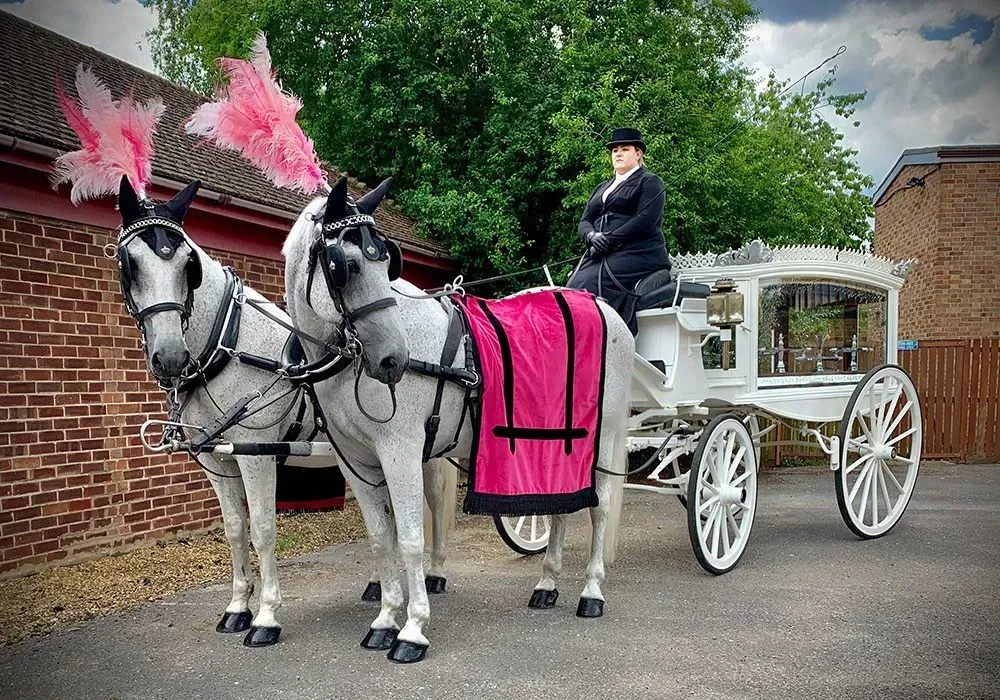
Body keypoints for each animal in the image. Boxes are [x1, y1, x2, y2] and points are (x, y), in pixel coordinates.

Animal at [111, 178, 452, 648]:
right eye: (129, 263)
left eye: (187, 265)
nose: (170, 357)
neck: (227, 343)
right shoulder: (217, 463)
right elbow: (235, 531)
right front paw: (237, 608)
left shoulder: (255, 454)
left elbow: (263, 530)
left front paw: (266, 617)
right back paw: (377, 587)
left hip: (422, 447)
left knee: (431, 501)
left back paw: (434, 574)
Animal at [282, 178, 632, 664]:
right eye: (344, 265)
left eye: (386, 261)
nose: (393, 360)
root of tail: (602, 304)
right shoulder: (356, 461)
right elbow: (381, 539)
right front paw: (385, 620)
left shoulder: (401, 451)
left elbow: (410, 540)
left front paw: (412, 629)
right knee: (561, 505)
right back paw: (547, 583)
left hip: (603, 439)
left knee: (598, 508)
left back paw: (591, 592)